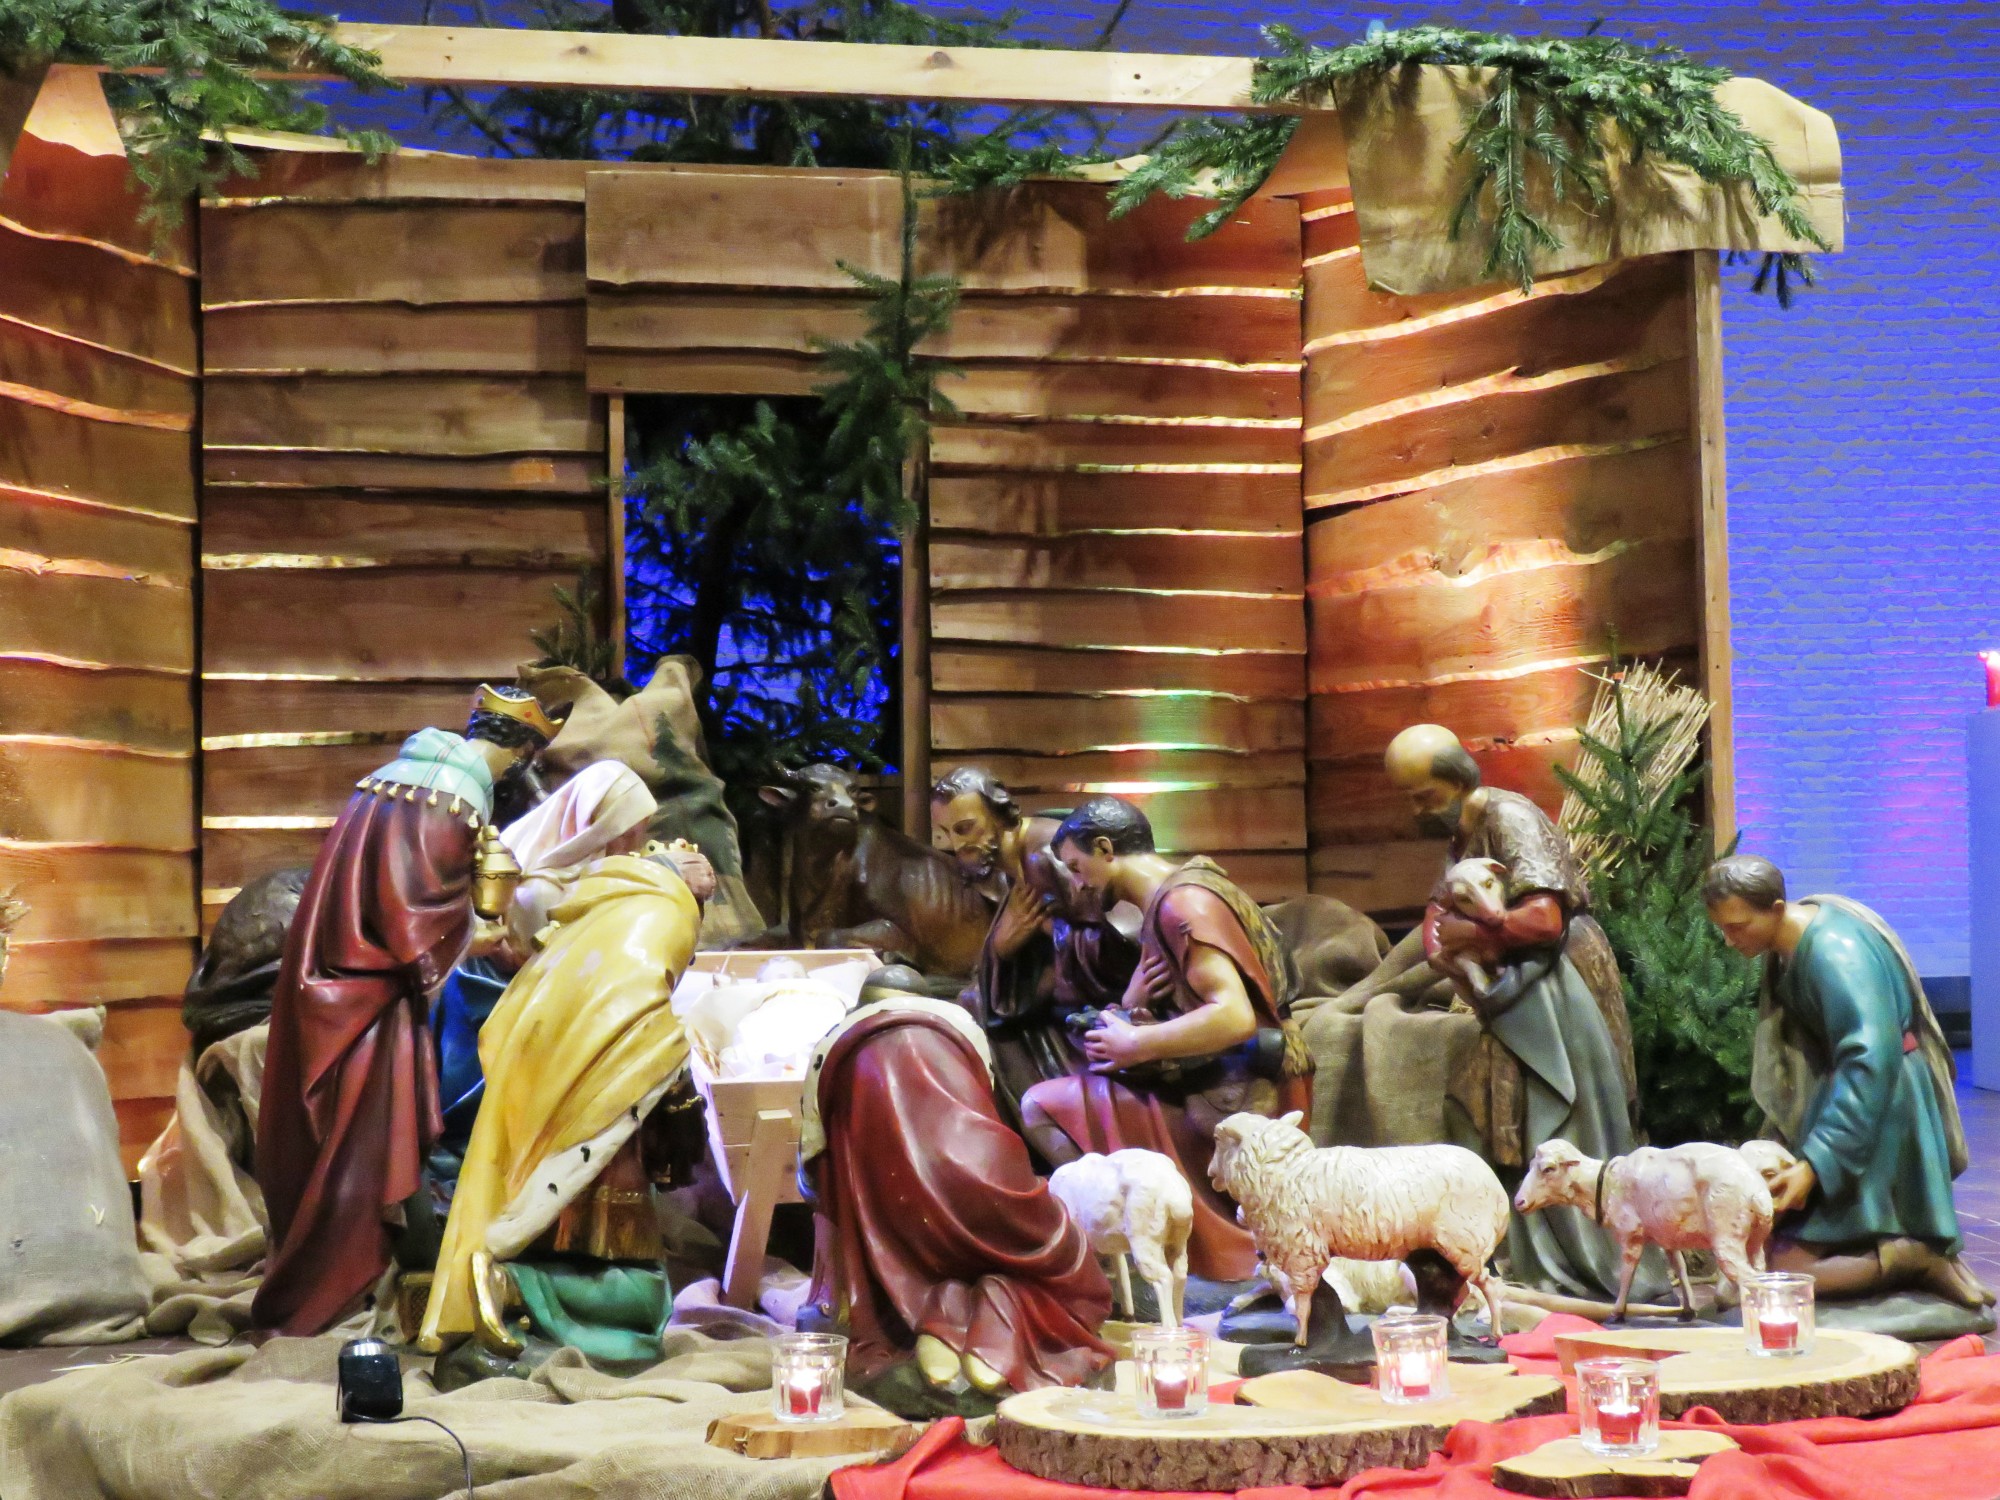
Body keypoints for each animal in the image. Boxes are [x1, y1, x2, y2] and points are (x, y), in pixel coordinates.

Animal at [1048, 1152, 1184, 1328]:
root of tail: (1176, 1199)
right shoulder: (1113, 1248)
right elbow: (1122, 1275)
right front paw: (1128, 1317)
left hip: (1145, 1242)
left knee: (1164, 1278)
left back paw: (1169, 1327)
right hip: (1178, 1241)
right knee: (1180, 1273)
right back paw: (1180, 1324)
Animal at [1200, 1120, 1504, 1352]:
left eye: (1217, 1141)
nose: (1209, 1173)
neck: (1286, 1169)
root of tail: (1495, 1184)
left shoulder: (1303, 1253)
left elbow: (1300, 1302)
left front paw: (1300, 1342)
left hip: (1465, 1242)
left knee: (1488, 1286)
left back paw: (1494, 1333)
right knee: (1458, 1292)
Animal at [1504, 1144, 1776, 1320]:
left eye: (1548, 1169)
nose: (1518, 1202)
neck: (1603, 1183)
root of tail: (1757, 1193)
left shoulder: (1630, 1235)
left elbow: (1627, 1272)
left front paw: (1617, 1312)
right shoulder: (1668, 1236)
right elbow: (1679, 1267)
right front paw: (1688, 1310)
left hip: (1726, 1238)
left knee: (1750, 1278)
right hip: (1755, 1240)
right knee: (1761, 1270)